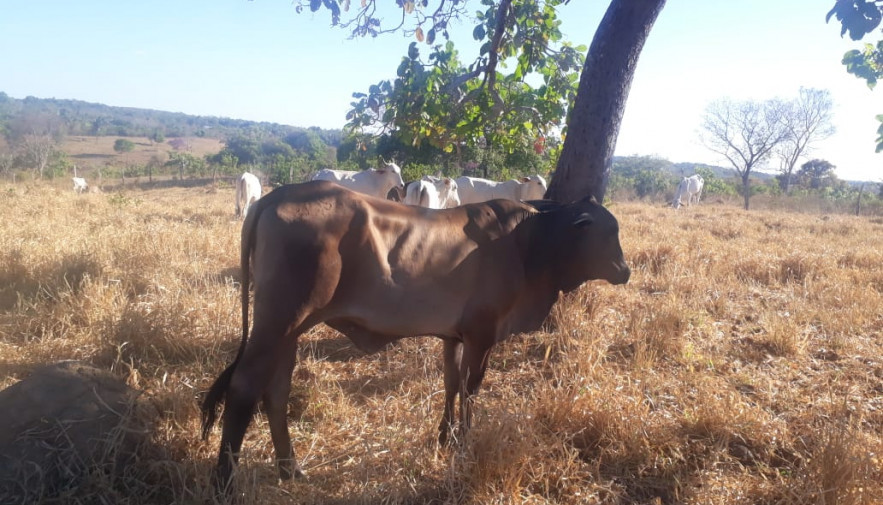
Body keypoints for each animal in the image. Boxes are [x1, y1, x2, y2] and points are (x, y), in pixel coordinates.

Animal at [202, 179, 628, 490]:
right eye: (609, 232)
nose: (625, 271)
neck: (528, 242)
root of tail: (275, 195)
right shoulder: (482, 334)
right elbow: (470, 390)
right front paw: (465, 442)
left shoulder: (454, 337)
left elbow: (451, 383)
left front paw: (445, 437)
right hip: (278, 321)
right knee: (244, 387)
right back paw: (224, 482)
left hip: (288, 330)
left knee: (276, 391)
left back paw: (290, 468)